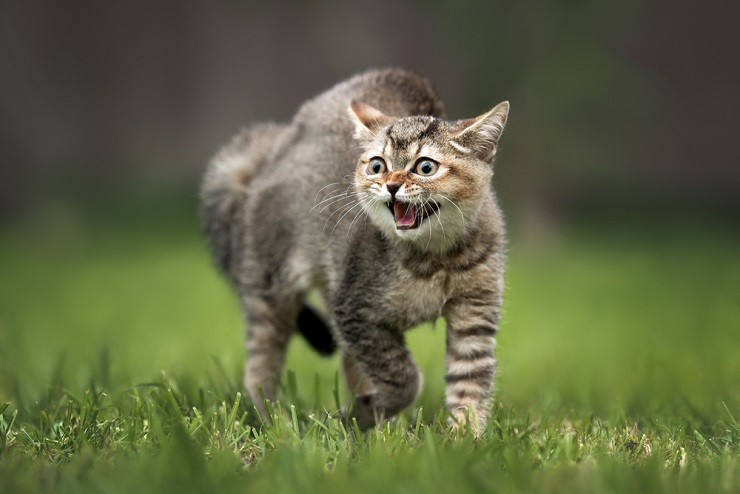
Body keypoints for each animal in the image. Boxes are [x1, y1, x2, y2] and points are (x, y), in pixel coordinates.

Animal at [201, 67, 508, 430]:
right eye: (377, 166)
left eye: (425, 167)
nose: (391, 185)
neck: (432, 258)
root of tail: (277, 148)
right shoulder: (355, 312)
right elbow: (404, 378)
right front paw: (371, 409)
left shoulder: (475, 316)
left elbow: (470, 384)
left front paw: (464, 436)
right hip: (271, 287)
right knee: (259, 369)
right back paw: (277, 425)